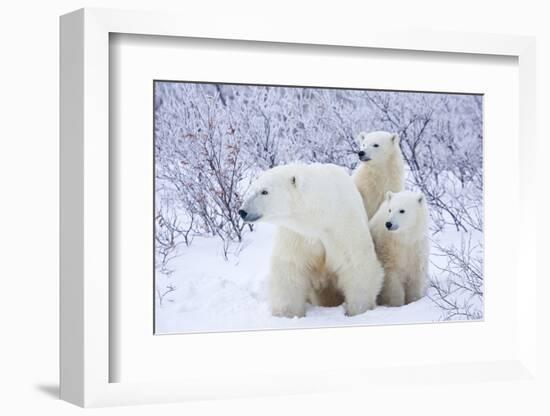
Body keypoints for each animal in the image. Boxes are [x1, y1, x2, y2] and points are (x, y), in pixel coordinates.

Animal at [239, 163, 386, 318]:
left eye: (264, 191)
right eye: (253, 188)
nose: (242, 211)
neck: (319, 217)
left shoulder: (341, 227)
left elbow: (356, 264)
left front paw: (358, 310)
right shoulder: (297, 235)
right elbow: (290, 268)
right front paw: (286, 314)